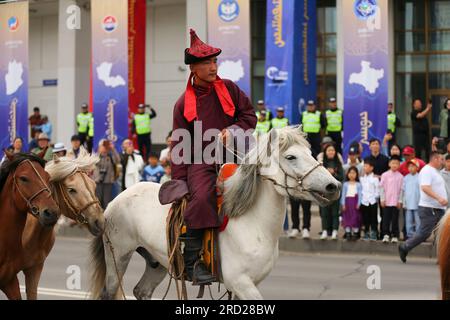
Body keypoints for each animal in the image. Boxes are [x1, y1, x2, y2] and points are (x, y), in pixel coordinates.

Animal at [90, 126, 342, 298]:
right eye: (291, 157)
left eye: (310, 152)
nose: (333, 186)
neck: (253, 222)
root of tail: (116, 198)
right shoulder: (241, 283)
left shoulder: (250, 283)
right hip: (118, 256)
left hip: (158, 261)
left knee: (142, 291)